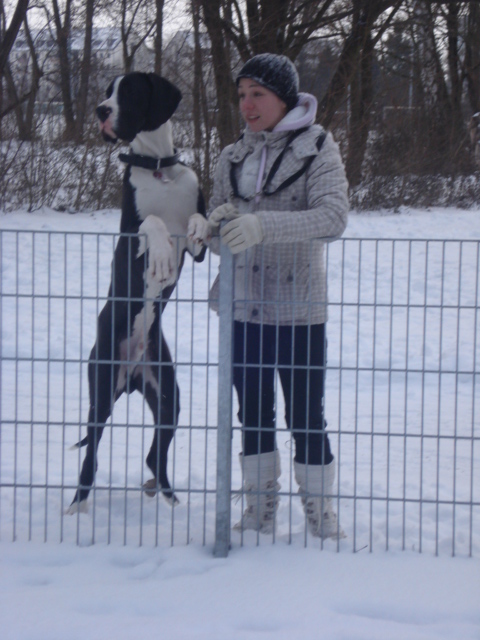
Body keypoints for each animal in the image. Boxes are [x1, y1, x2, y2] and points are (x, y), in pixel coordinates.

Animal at [66, 70, 205, 512]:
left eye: (128, 91)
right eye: (107, 92)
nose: (100, 111)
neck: (158, 167)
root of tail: (131, 375)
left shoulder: (199, 253)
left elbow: (199, 221)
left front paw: (196, 227)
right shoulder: (128, 234)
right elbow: (152, 224)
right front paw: (160, 255)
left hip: (167, 396)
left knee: (153, 454)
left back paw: (169, 498)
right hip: (101, 389)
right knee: (91, 453)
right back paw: (77, 506)